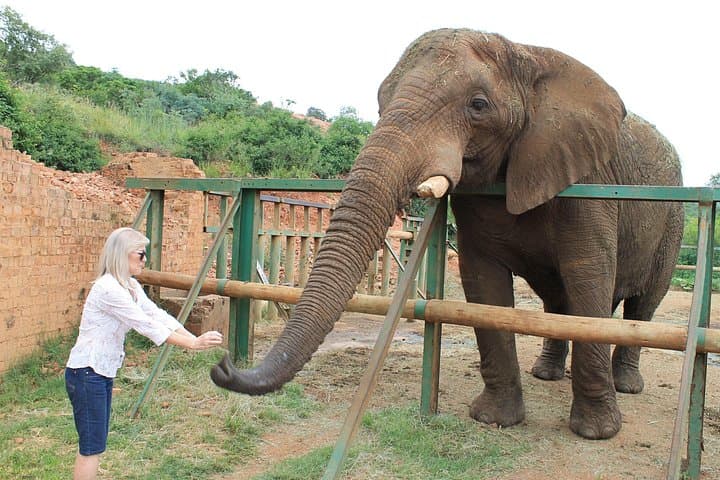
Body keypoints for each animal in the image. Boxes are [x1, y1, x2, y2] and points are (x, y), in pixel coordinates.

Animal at [211, 28, 684, 440]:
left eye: (478, 104)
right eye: (380, 104)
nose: (222, 365)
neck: (525, 54)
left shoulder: (589, 182)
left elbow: (590, 278)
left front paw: (597, 433)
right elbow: (484, 285)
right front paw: (495, 420)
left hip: (674, 221)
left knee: (643, 302)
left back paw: (627, 385)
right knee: (557, 301)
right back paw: (546, 374)